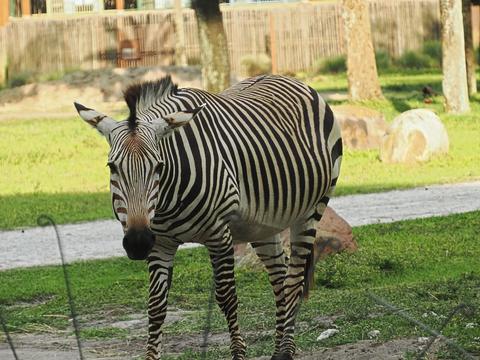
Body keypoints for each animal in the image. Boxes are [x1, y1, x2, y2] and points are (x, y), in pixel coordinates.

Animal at [74, 74, 342, 360]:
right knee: (280, 278)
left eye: (159, 166)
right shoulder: (160, 243)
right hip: (262, 224)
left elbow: (227, 297)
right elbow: (156, 306)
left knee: (294, 279)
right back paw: (279, 347)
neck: (167, 199)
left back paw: (286, 351)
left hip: (312, 209)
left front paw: (238, 354)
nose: (137, 243)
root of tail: (287, 78)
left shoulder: (219, 234)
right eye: (112, 167)